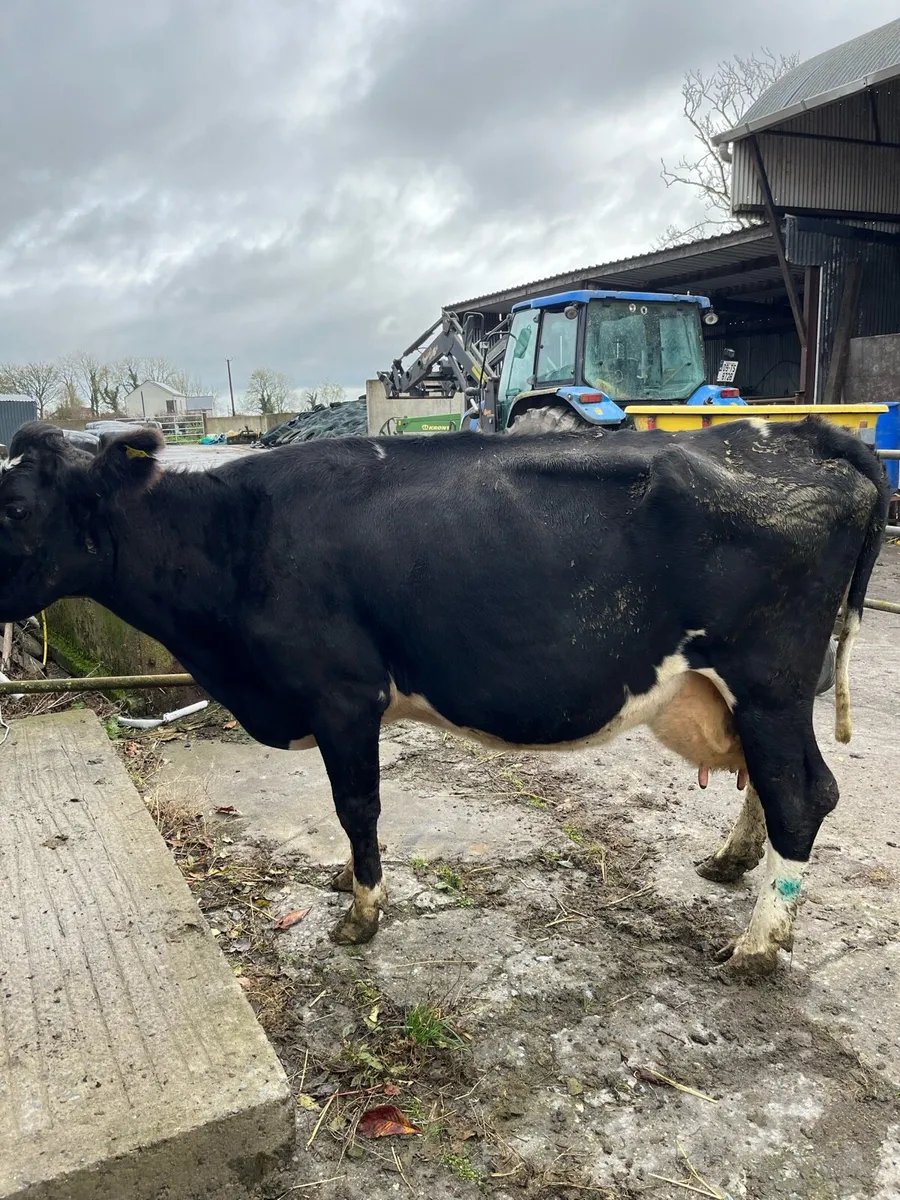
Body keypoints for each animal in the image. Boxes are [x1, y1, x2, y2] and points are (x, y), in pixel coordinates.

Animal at [0, 417, 888, 975]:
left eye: (15, 505)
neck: (238, 534)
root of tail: (805, 433)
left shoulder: (342, 694)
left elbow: (356, 804)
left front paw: (362, 911)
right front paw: (346, 883)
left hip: (768, 677)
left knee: (805, 795)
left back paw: (759, 946)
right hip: (758, 692)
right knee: (775, 785)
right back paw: (731, 863)